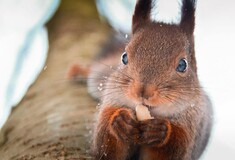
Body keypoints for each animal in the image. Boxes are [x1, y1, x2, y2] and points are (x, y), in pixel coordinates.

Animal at [67, 0, 213, 159]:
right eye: (124, 57)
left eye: (182, 65)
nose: (143, 91)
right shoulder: (111, 101)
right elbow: (104, 146)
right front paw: (120, 121)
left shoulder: (190, 127)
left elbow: (173, 148)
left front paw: (160, 131)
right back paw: (79, 70)